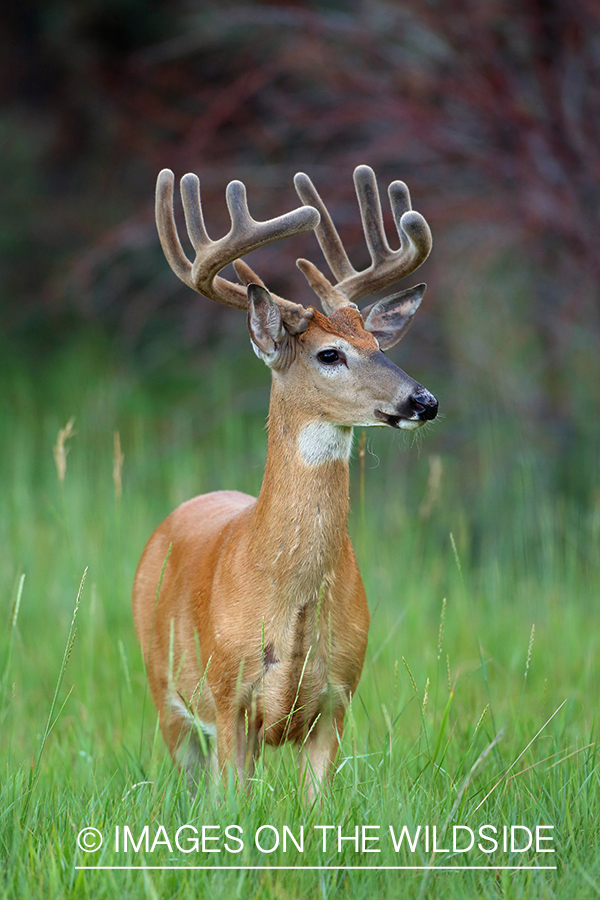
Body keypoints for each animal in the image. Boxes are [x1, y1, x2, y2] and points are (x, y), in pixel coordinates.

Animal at [134, 163, 438, 796]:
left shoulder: (338, 697)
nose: (424, 401)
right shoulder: (229, 698)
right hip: (164, 692)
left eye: (377, 344)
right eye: (330, 354)